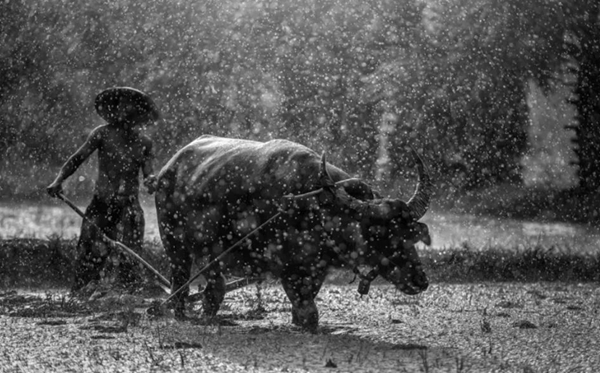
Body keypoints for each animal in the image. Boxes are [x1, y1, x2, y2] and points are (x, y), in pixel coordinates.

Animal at [157, 133, 434, 328]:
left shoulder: (317, 269)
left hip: (210, 252)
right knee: (181, 283)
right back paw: (181, 315)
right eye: (380, 235)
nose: (420, 280)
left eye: (409, 235)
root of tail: (169, 167)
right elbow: (308, 312)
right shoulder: (286, 268)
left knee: (213, 288)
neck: (316, 207)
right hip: (173, 244)